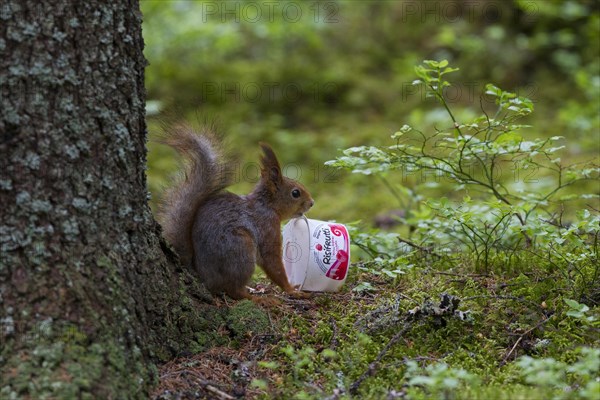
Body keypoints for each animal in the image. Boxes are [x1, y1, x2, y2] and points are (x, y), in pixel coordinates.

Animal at [159, 123, 314, 302]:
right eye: (295, 193)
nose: (312, 203)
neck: (267, 206)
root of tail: (202, 275)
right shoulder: (267, 227)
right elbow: (272, 261)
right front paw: (291, 290)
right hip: (241, 249)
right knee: (235, 291)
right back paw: (260, 299)